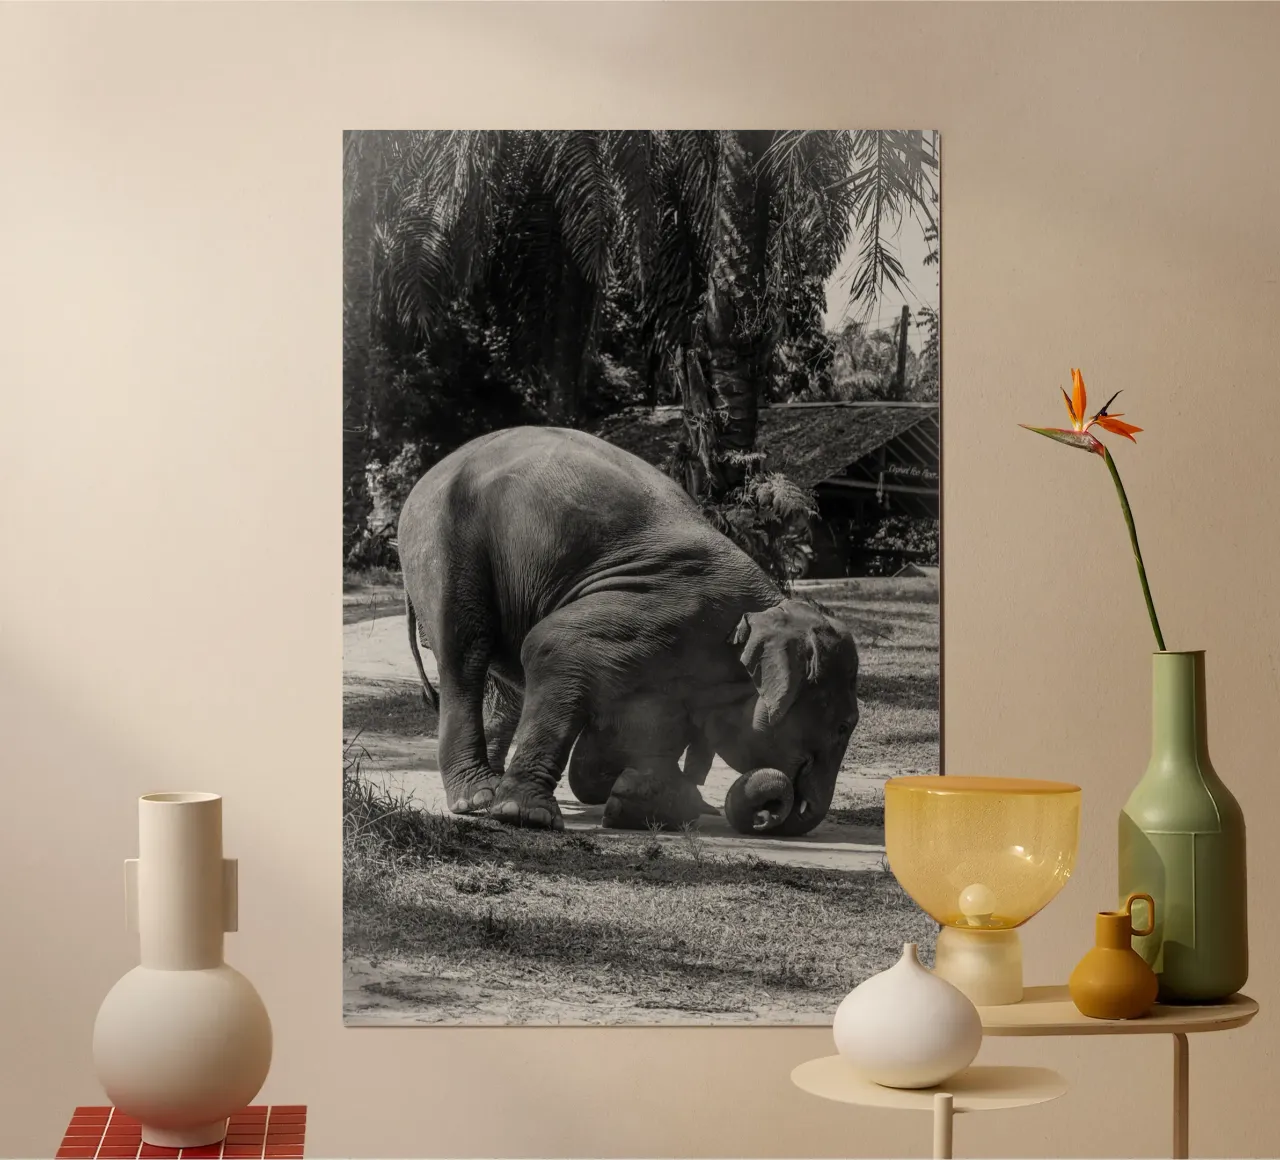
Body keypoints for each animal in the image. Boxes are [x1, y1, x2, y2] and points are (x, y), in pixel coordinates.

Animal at [397, 425, 859, 836]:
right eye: (843, 726)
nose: (772, 814)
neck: (766, 607)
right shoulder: (663, 609)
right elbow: (550, 646)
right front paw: (528, 816)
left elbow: (633, 727)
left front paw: (638, 797)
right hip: (445, 545)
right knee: (466, 652)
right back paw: (477, 797)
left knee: (506, 689)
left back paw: (489, 790)